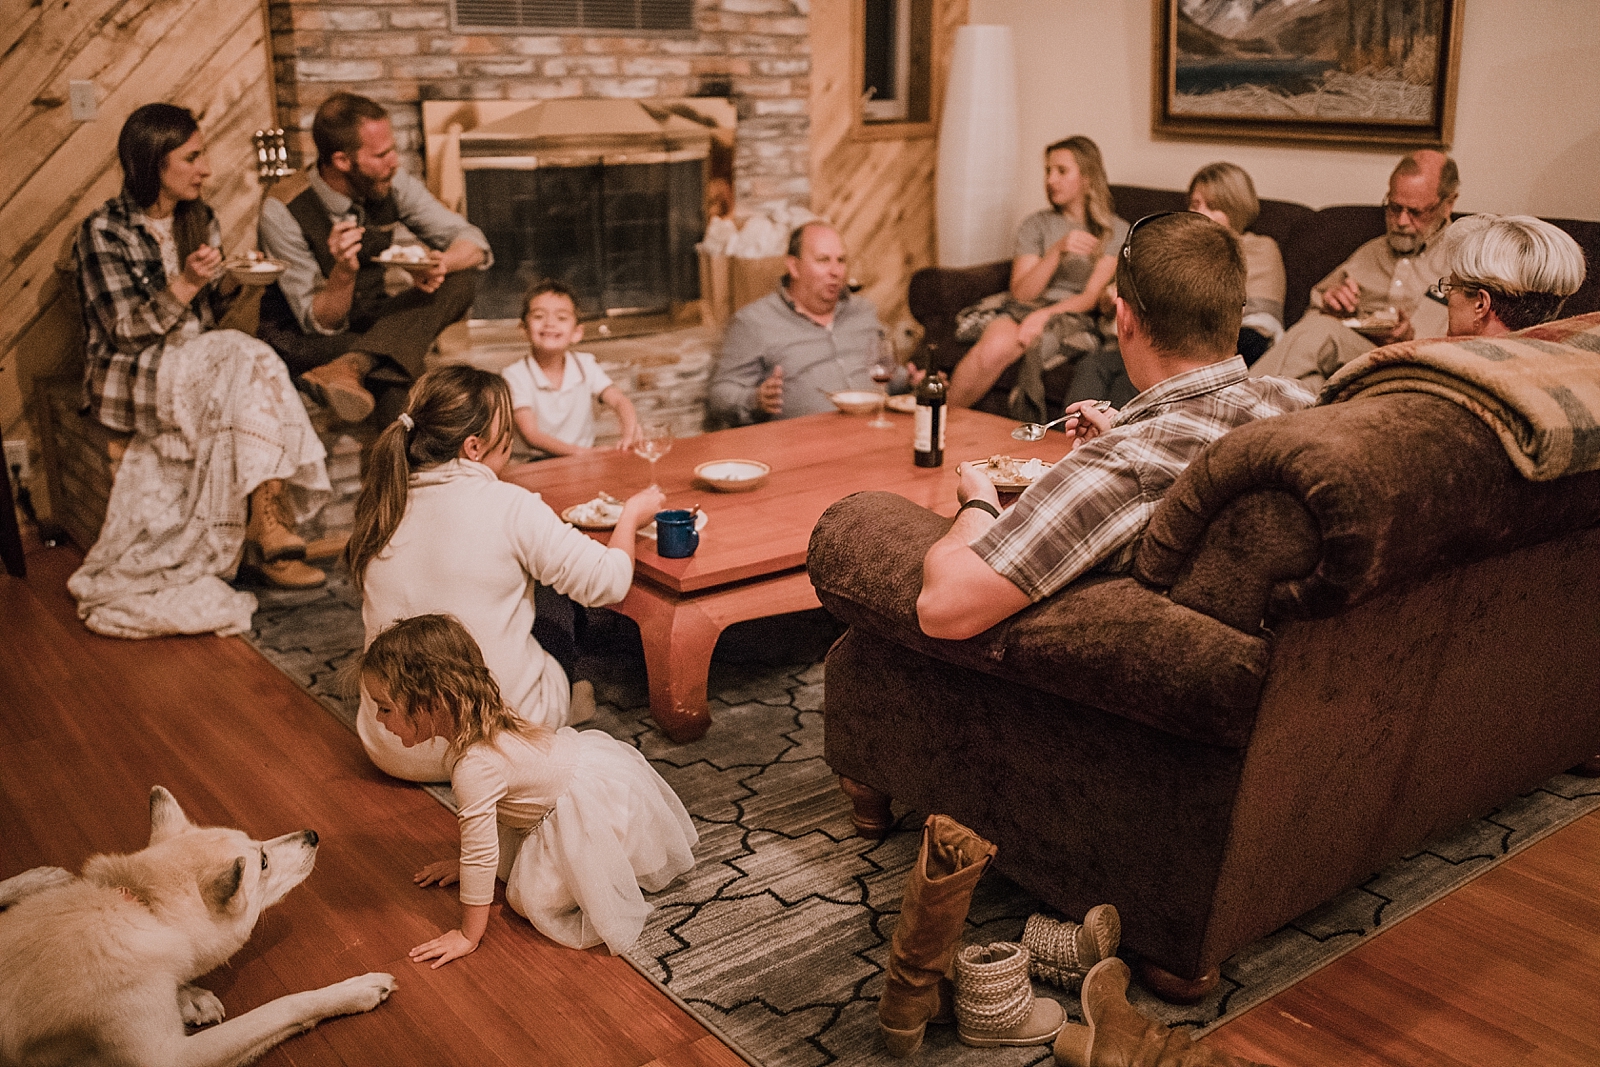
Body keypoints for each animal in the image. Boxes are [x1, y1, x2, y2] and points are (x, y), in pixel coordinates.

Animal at [0, 783, 396, 1067]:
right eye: (263, 861)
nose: (313, 834)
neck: (144, 908)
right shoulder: (170, 1059)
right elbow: (285, 1006)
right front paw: (356, 990)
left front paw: (187, 995)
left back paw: (38, 880)